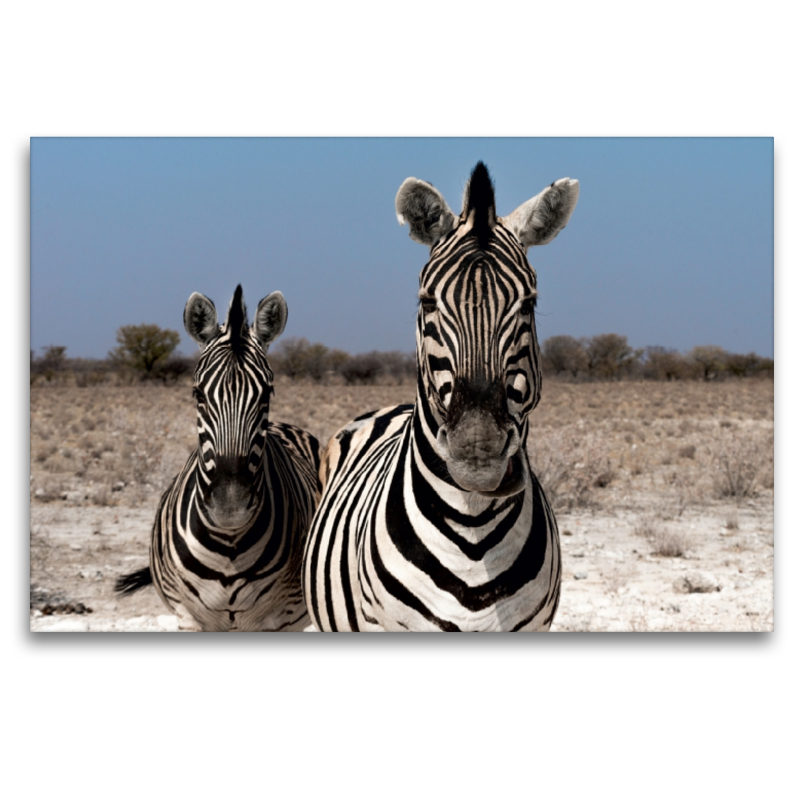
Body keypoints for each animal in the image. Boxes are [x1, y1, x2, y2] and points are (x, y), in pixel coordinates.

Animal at [114, 282, 320, 632]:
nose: (230, 506)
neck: (229, 547)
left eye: (267, 394)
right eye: (198, 394)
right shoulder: (189, 617)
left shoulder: (277, 621)